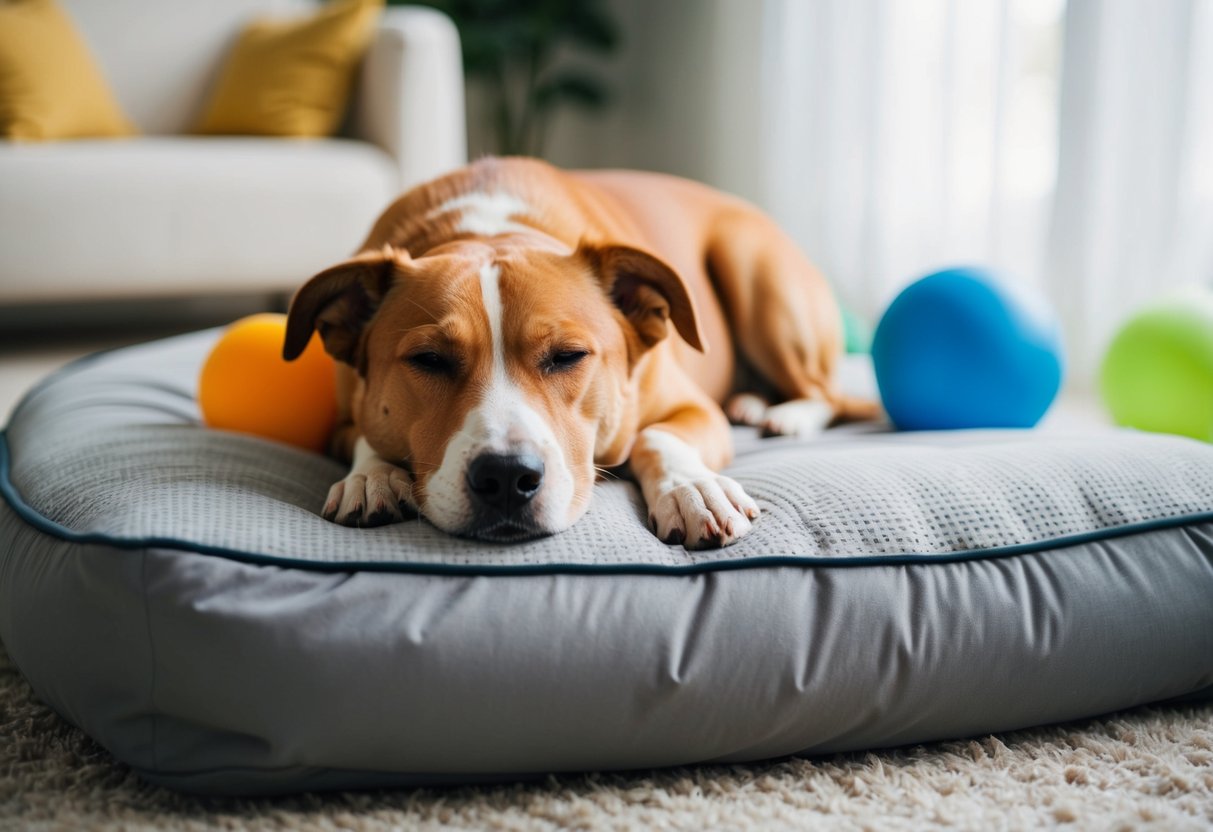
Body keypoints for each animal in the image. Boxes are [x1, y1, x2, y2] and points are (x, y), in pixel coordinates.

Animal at [283, 157, 873, 550]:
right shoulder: (340, 419)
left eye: (568, 356)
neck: (490, 228)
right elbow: (367, 437)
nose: (506, 477)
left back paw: (784, 414)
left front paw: (693, 488)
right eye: (429, 360)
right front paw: (373, 477)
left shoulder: (692, 408)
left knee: (828, 393)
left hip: (758, 279)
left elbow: (657, 436)